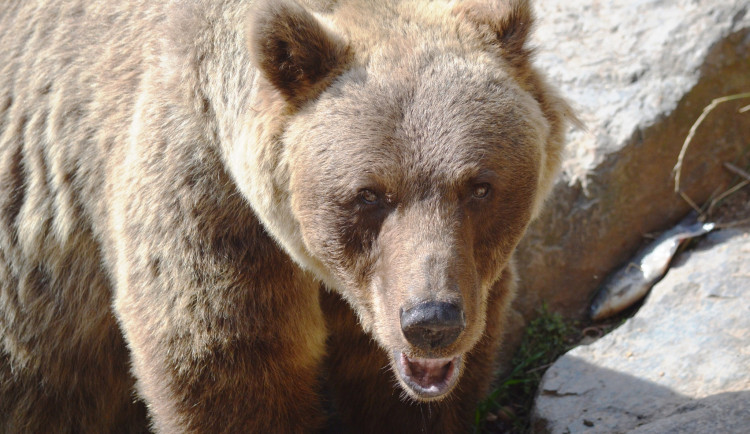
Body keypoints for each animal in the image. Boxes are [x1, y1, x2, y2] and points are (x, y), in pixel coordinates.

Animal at [1, 0, 576, 430]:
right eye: (369, 194)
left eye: (479, 186)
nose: (431, 321)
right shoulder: (212, 210)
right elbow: (230, 370)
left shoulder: (471, 283)